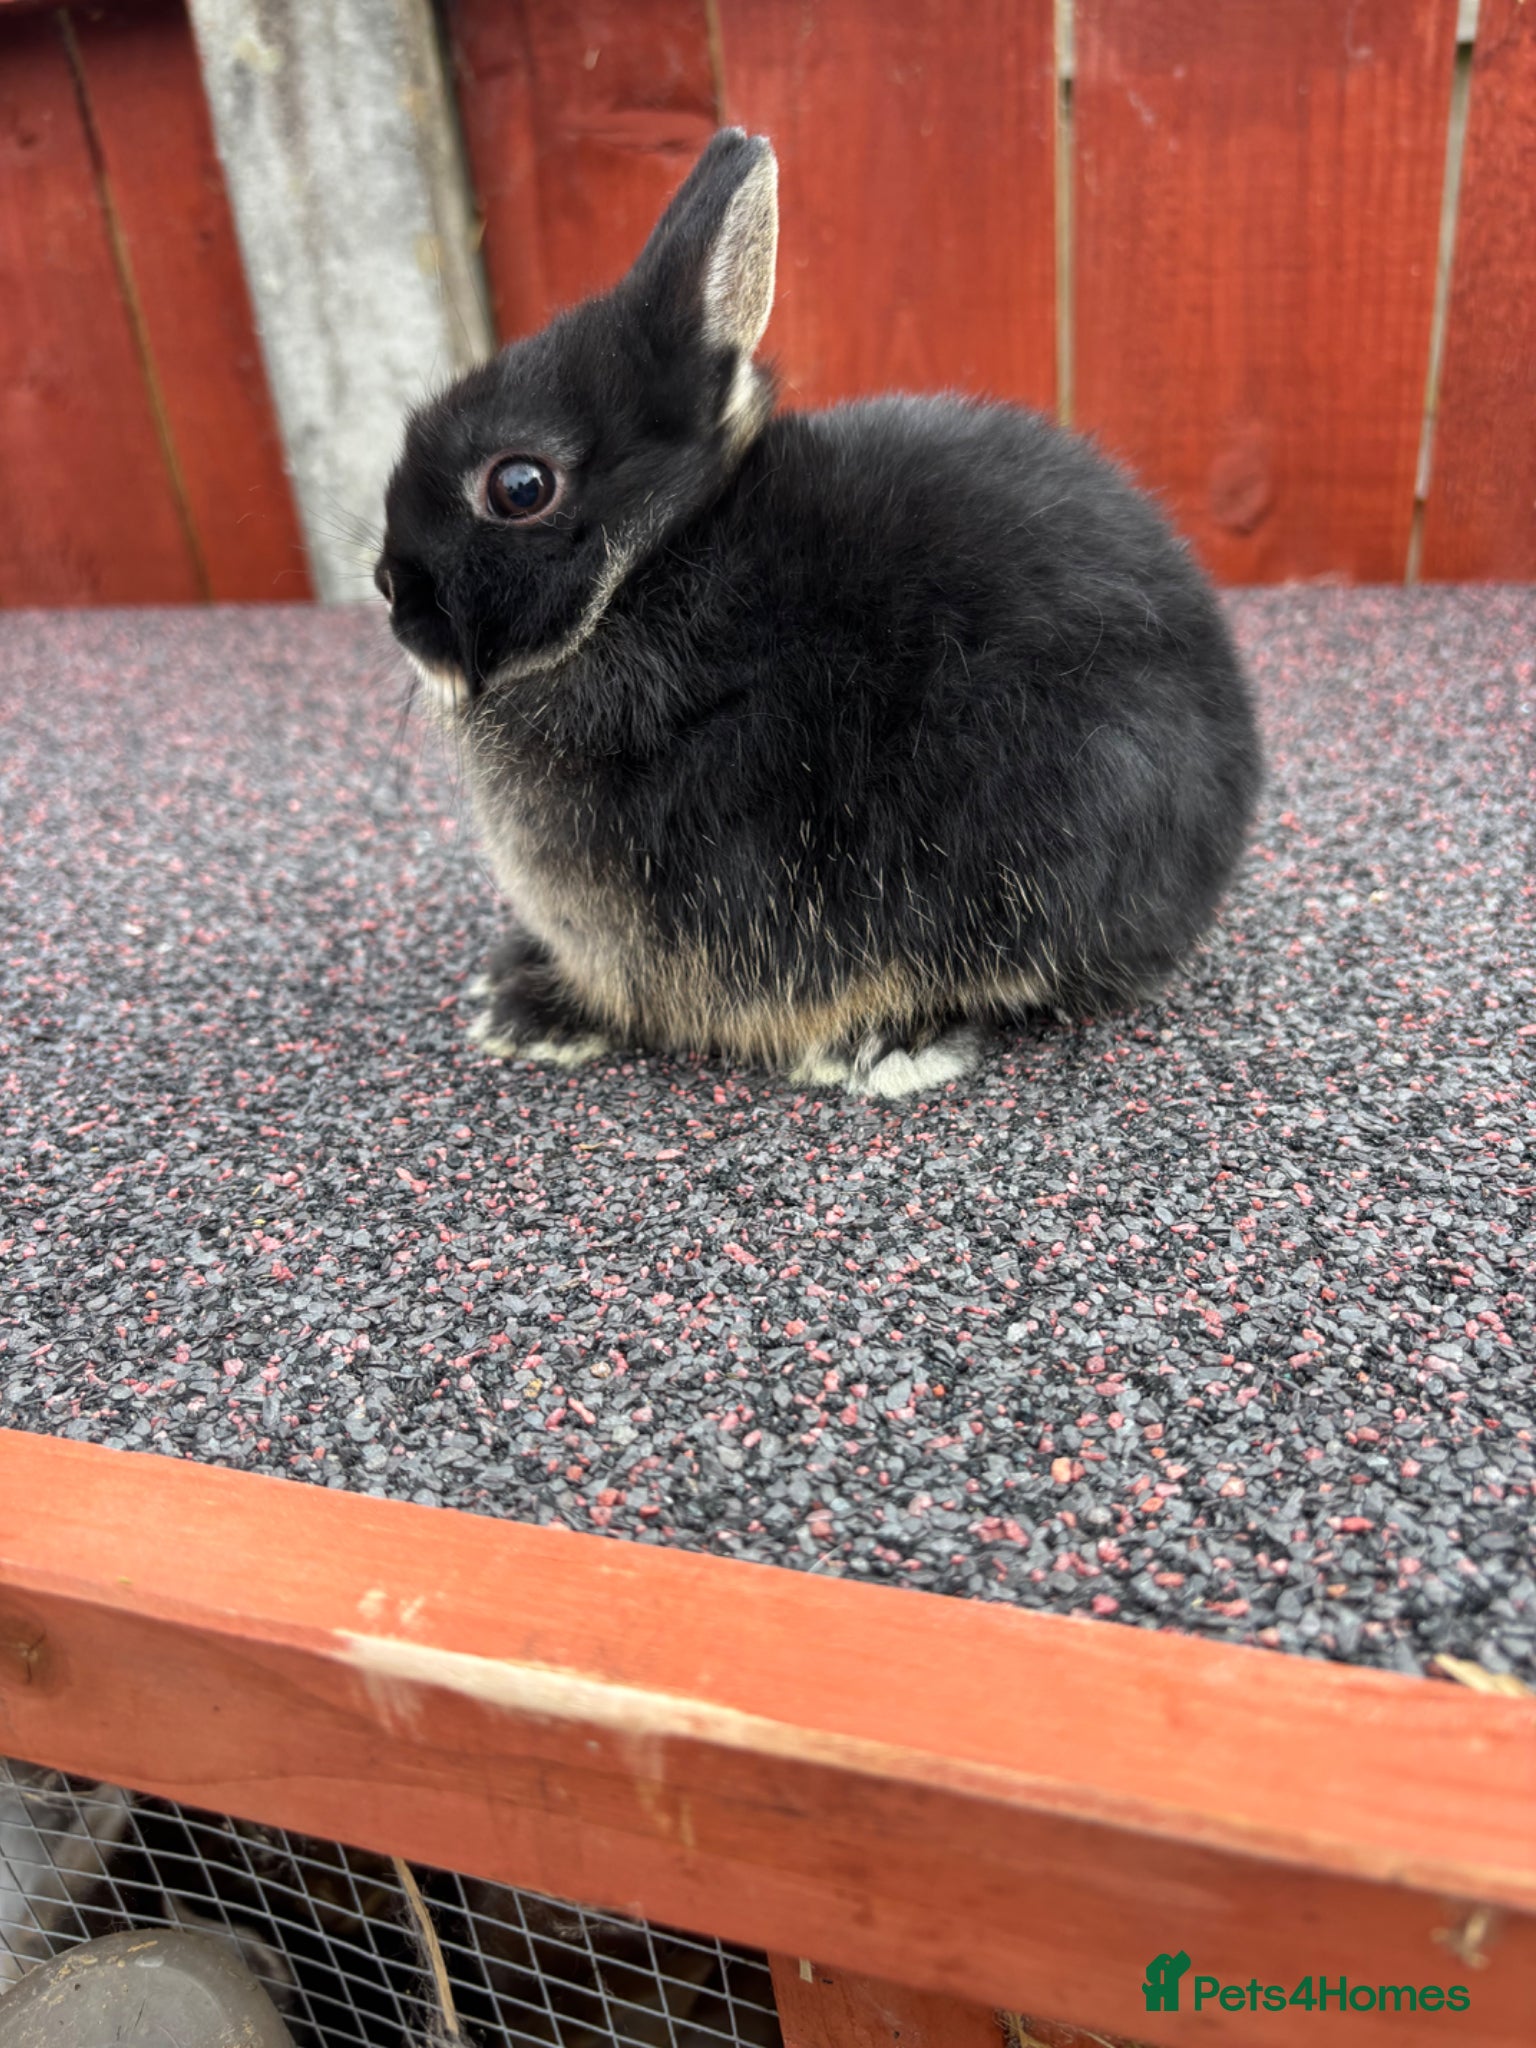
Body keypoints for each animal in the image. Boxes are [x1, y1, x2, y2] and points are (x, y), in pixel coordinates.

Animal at [377, 129, 1262, 1099]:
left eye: (520, 486)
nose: (391, 593)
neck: (647, 571)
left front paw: (538, 1014)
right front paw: (514, 991)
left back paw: (883, 1045)